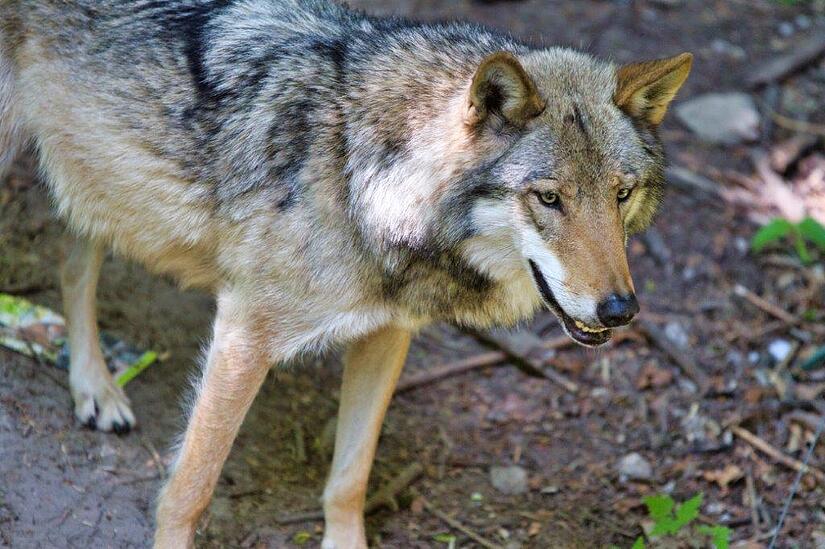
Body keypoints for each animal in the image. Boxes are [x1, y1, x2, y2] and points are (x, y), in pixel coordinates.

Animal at [0, 0, 691, 546]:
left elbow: (348, 480)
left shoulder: (388, 336)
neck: (360, 176)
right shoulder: (243, 337)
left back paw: (94, 386)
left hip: (95, 187)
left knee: (72, 263)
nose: (620, 311)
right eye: (548, 198)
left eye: (622, 194)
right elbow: (188, 490)